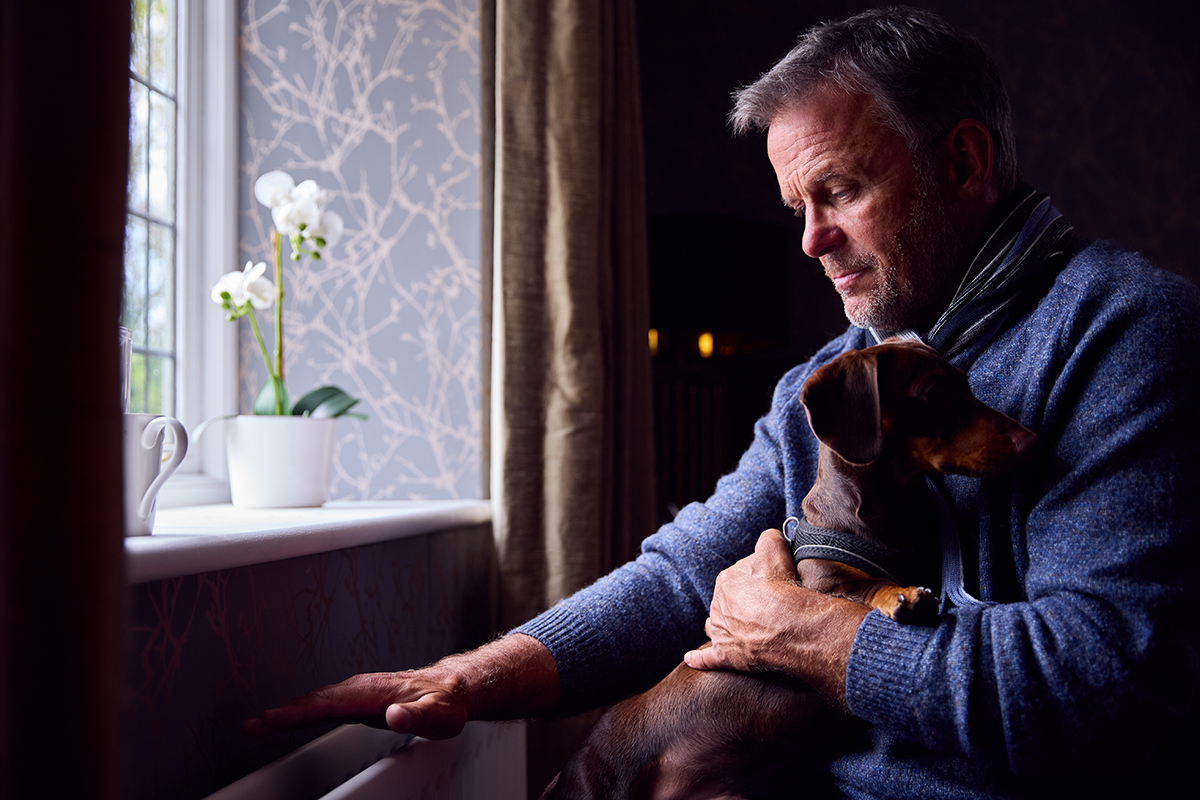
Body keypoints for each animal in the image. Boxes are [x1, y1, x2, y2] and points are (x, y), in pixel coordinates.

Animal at [540, 340, 1036, 800]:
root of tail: (566, 774)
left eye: (966, 385)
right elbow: (869, 584)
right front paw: (904, 596)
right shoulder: (824, 582)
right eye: (934, 392)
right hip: (599, 781)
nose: (1030, 441)